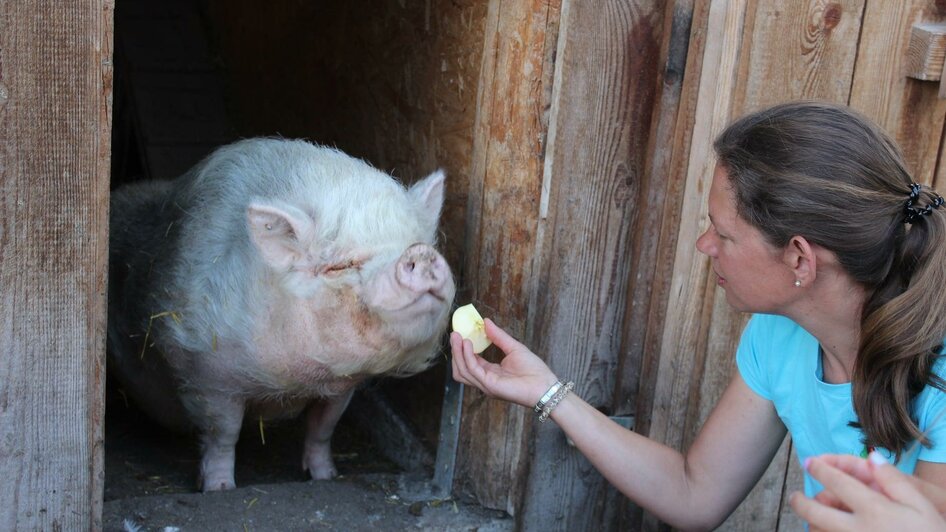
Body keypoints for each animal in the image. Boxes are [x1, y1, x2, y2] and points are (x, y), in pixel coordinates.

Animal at [107, 137, 454, 490]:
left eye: (419, 242)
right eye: (340, 265)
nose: (420, 253)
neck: (295, 382)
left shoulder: (342, 387)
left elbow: (322, 429)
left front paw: (326, 477)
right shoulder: (208, 376)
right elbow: (223, 435)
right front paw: (219, 489)